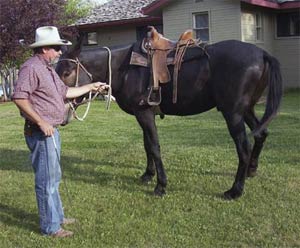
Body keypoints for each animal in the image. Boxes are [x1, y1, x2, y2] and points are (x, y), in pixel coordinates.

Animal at [55, 27, 282, 200]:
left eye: (66, 73)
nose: (60, 112)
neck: (125, 66)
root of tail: (263, 54)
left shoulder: (144, 113)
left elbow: (155, 147)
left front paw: (161, 185)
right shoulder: (143, 114)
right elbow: (147, 145)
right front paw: (148, 175)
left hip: (233, 113)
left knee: (243, 148)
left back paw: (235, 190)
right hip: (247, 109)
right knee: (261, 134)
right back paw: (251, 170)